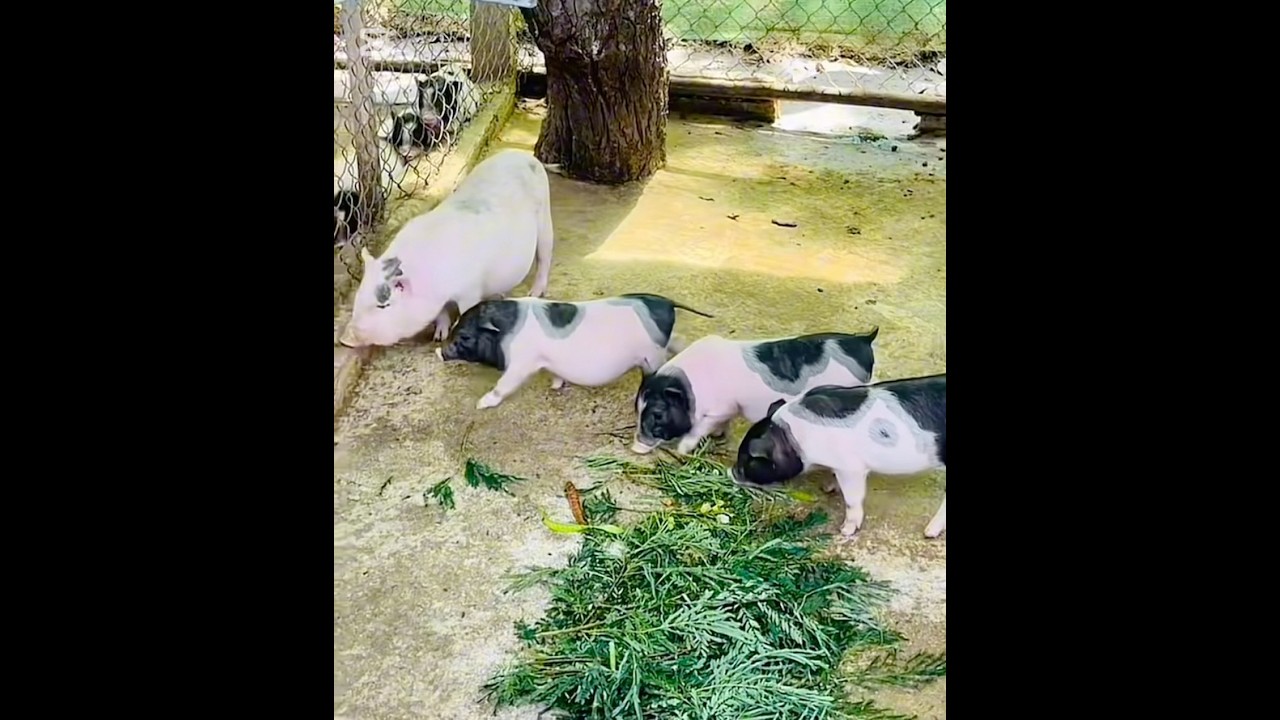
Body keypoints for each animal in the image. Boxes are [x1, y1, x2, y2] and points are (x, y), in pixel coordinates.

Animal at [338, 149, 554, 347]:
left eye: (383, 305)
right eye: (358, 297)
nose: (344, 339)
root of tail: (522, 154)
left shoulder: (470, 289)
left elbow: (467, 310)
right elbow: (440, 314)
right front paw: (438, 337)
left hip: (545, 216)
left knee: (544, 256)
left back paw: (535, 293)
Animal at [438, 293, 715, 410]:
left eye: (464, 336)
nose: (439, 352)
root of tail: (667, 302)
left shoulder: (522, 363)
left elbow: (504, 385)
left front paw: (480, 404)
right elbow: (556, 374)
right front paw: (555, 387)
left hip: (652, 356)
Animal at [632, 328, 879, 456]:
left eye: (658, 414)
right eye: (638, 409)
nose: (635, 447)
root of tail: (863, 340)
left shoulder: (721, 408)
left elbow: (698, 429)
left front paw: (683, 450)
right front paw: (718, 435)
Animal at [730, 374, 946, 539]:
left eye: (748, 460)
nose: (731, 472)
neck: (794, 437)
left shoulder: (851, 468)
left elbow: (852, 498)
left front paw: (845, 531)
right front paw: (827, 488)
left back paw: (928, 533)